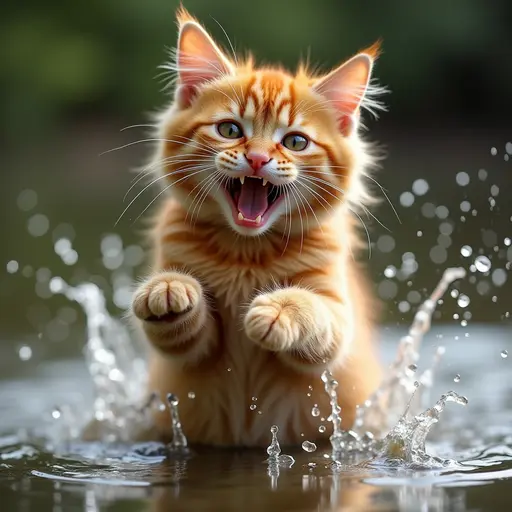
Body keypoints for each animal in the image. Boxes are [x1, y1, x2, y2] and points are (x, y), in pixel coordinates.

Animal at [131, 9, 384, 448]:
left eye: (295, 142)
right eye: (231, 130)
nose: (258, 158)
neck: (246, 253)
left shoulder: (337, 319)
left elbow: (314, 312)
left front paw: (279, 310)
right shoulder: (189, 349)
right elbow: (180, 329)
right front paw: (168, 287)